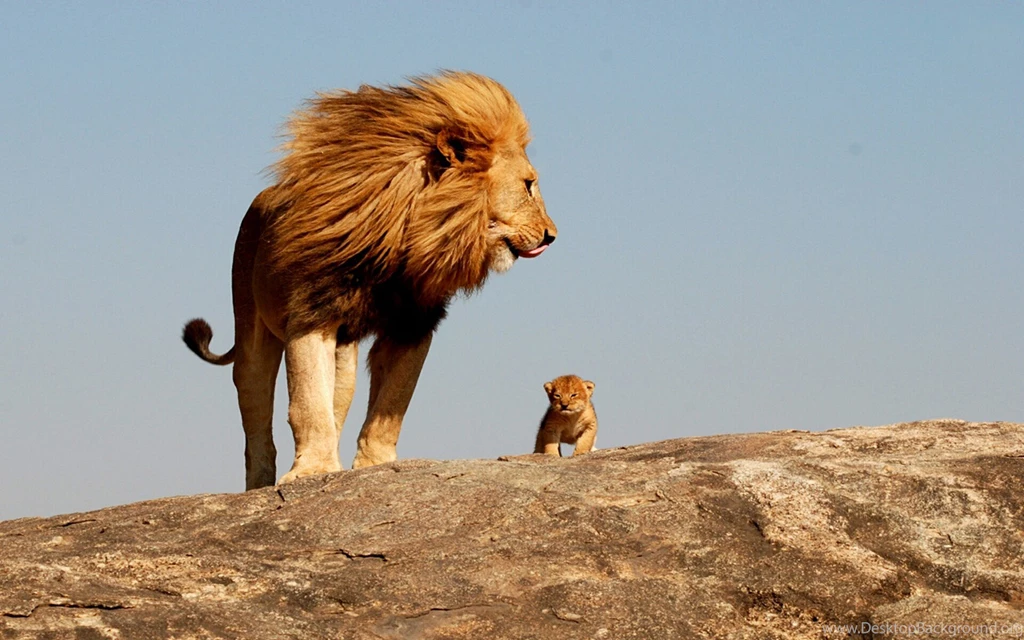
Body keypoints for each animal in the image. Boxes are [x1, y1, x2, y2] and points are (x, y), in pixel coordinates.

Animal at [183, 72, 556, 489]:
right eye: (528, 185)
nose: (551, 236)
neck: (404, 238)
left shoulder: (413, 325)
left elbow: (391, 405)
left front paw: (373, 466)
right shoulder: (311, 316)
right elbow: (308, 403)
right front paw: (312, 471)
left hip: (344, 357)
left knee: (337, 401)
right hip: (251, 332)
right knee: (256, 413)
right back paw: (261, 483)